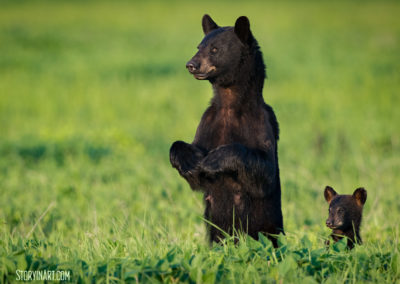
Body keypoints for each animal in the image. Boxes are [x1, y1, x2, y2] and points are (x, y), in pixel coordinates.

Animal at [169, 15, 284, 246]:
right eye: (199, 46)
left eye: (215, 49)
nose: (191, 65)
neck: (230, 105)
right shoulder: (208, 121)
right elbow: (195, 171)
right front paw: (190, 160)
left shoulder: (261, 122)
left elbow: (265, 170)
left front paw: (215, 159)